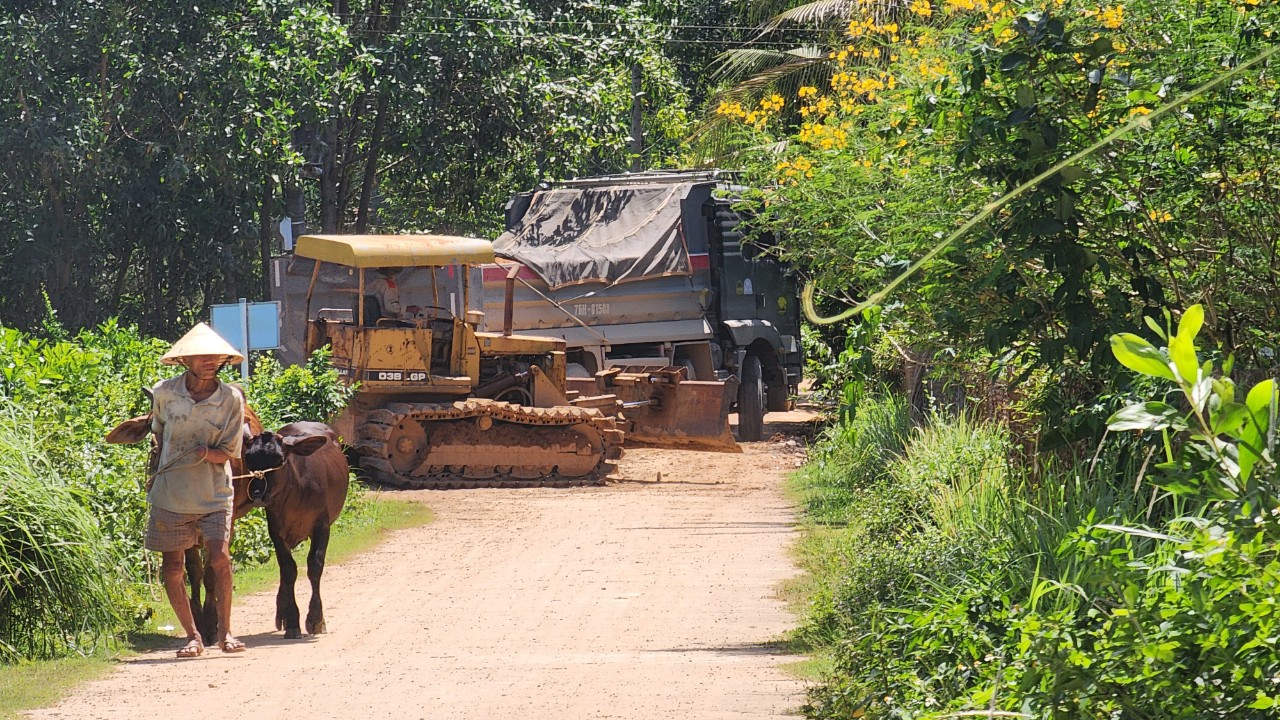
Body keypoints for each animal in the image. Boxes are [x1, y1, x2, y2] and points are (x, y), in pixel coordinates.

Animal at [238, 417, 348, 635]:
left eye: (279, 460)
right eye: (249, 459)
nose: (257, 493)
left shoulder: (322, 526)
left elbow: (314, 566)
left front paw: (316, 619)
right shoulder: (276, 531)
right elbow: (288, 570)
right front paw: (292, 621)